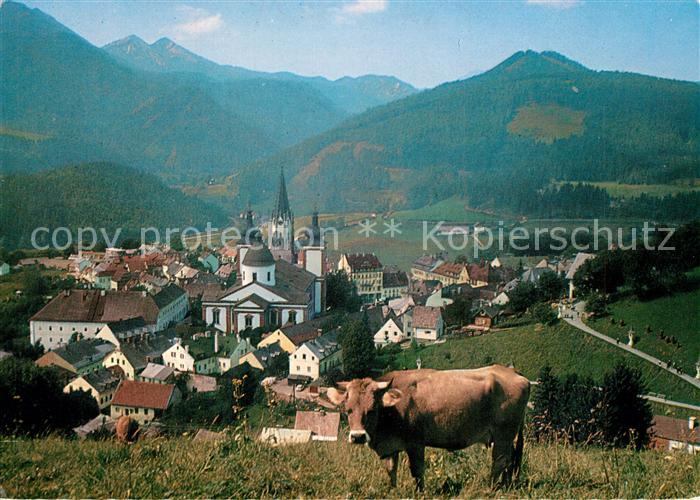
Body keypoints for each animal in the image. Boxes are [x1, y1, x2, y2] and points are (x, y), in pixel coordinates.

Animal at [326, 365, 530, 489]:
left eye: (372, 409)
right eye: (347, 409)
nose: (358, 436)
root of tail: (513, 372)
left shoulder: (415, 443)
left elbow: (417, 471)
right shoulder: (391, 447)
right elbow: (391, 470)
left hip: (503, 435)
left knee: (500, 462)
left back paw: (492, 489)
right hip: (506, 437)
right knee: (510, 460)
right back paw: (506, 486)